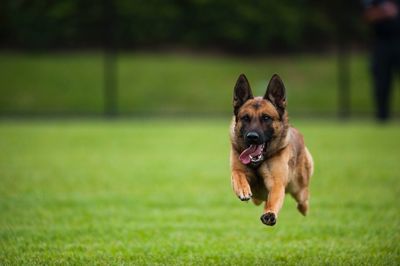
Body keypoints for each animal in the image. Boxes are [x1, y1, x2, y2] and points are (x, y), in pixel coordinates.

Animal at [230, 74, 314, 225]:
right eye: (245, 118)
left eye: (266, 118)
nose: (252, 137)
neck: (258, 162)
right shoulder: (238, 170)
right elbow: (237, 174)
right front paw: (243, 189)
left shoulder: (276, 182)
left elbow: (274, 198)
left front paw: (269, 213)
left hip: (298, 188)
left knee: (303, 200)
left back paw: (303, 209)